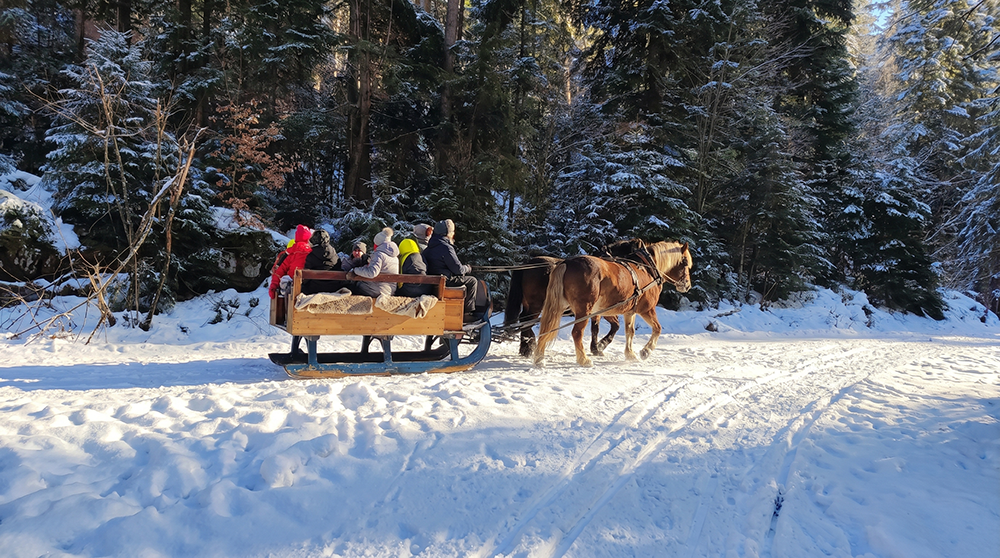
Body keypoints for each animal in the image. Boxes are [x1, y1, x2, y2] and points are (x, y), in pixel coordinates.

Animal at [532, 241, 693, 367]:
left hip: (558, 307)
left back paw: (539, 357)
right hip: (584, 310)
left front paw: (630, 354)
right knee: (576, 333)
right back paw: (584, 360)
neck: (647, 268)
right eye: (685, 262)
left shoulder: (630, 311)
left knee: (547, 327)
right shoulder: (647, 309)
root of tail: (567, 262)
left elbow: (630, 332)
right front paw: (645, 351)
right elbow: (657, 328)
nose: (687, 285)